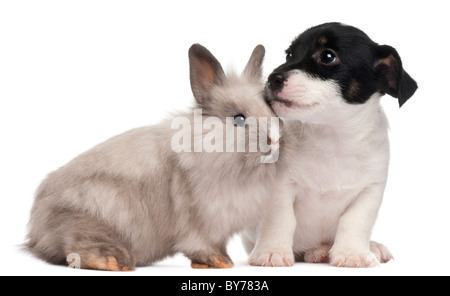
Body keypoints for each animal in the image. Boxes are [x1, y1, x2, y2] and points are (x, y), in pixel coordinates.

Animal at [23, 43, 288, 270]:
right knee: (76, 247)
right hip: (88, 218)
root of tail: (37, 228)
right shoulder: (199, 224)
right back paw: (114, 262)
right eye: (239, 119)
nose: (274, 140)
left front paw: (221, 261)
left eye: (271, 110)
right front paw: (220, 261)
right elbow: (201, 245)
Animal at [243, 23, 418, 268]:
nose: (272, 78)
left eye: (328, 57)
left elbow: (354, 221)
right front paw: (272, 251)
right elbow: (281, 219)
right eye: (290, 54)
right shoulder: (279, 189)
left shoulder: (370, 192)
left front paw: (353, 253)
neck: (332, 138)